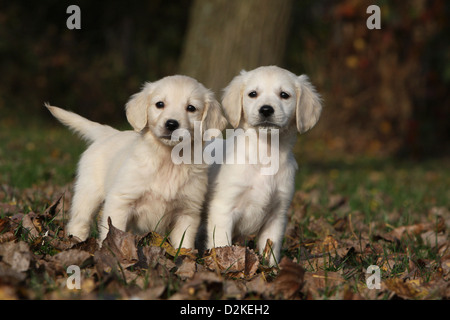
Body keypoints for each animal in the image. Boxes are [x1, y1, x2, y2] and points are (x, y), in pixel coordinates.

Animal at [47, 75, 227, 248]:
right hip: (88, 192)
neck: (168, 159)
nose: (171, 124)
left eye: (191, 108)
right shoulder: (120, 201)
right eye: (159, 104)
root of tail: (109, 133)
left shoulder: (188, 212)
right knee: (80, 221)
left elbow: (184, 244)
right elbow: (114, 232)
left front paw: (185, 255)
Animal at [206, 65, 322, 264]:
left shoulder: (277, 215)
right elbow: (221, 243)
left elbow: (271, 248)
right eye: (253, 94)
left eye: (284, 95)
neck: (265, 154)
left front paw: (271, 268)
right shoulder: (223, 209)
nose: (266, 109)